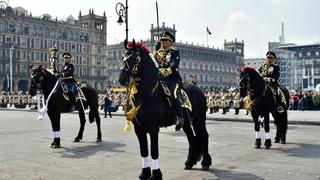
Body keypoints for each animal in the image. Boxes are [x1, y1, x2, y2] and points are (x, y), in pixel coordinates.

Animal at [119, 41, 211, 180]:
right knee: (191, 138)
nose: (121, 79)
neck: (146, 94)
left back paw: (205, 163)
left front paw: (156, 174)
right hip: (186, 122)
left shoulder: (153, 128)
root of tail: (199, 90)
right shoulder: (139, 128)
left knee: (204, 136)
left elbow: (154, 151)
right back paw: (189, 162)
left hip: (199, 120)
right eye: (123, 57)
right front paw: (144, 173)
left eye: (135, 58)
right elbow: (143, 151)